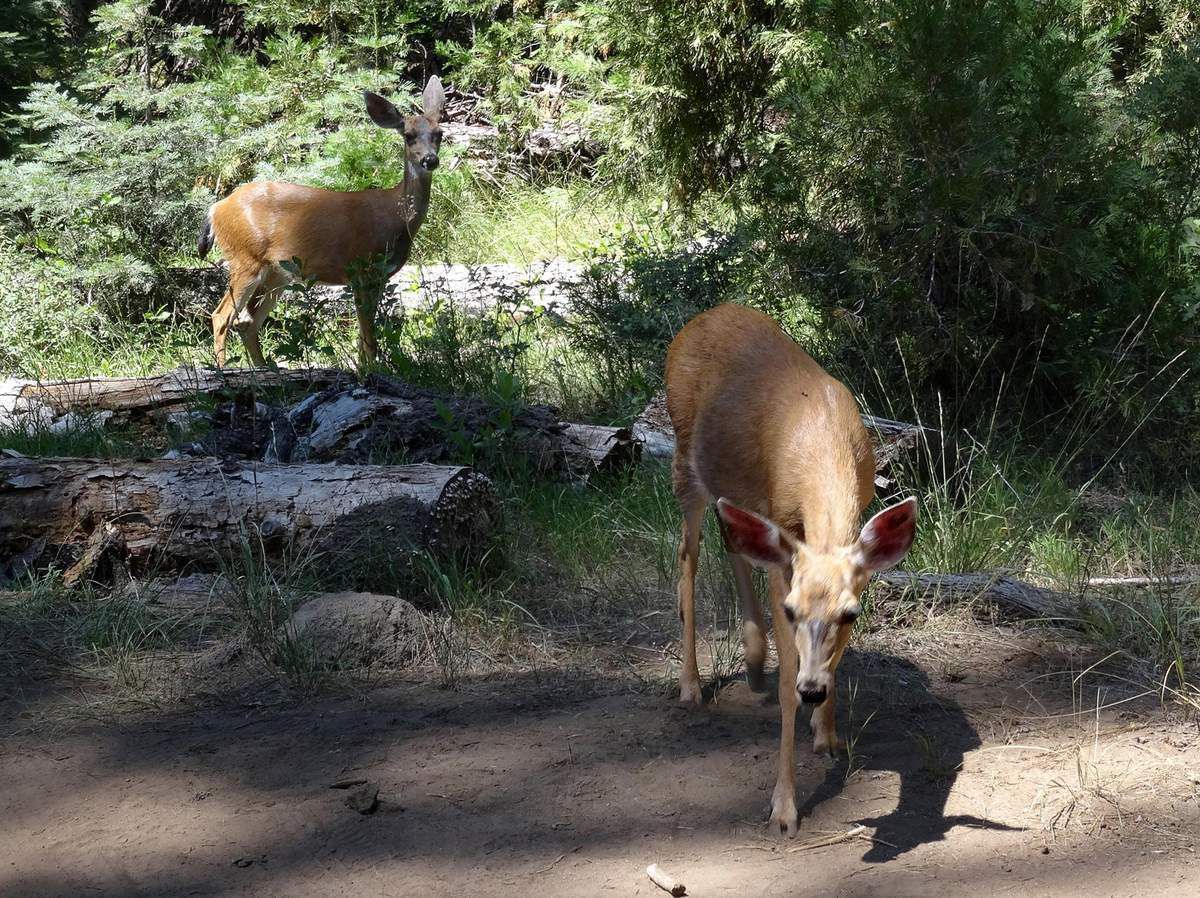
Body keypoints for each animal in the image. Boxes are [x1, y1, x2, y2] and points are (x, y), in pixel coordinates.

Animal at [199, 75, 448, 369]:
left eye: (439, 134)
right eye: (408, 136)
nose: (430, 159)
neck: (394, 218)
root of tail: (216, 208)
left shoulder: (376, 277)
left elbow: (363, 338)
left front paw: (362, 370)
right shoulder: (361, 269)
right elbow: (369, 338)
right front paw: (373, 372)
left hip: (276, 274)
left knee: (248, 323)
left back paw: (264, 369)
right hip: (245, 258)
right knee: (221, 316)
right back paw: (223, 371)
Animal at [667, 301, 916, 835]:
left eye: (851, 614)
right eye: (791, 609)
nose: (813, 690)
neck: (824, 444)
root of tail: (704, 316)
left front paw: (827, 736)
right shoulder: (783, 530)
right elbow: (786, 683)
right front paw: (783, 808)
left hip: (735, 490)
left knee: (734, 542)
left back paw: (753, 660)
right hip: (685, 463)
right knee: (688, 557)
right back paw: (691, 685)